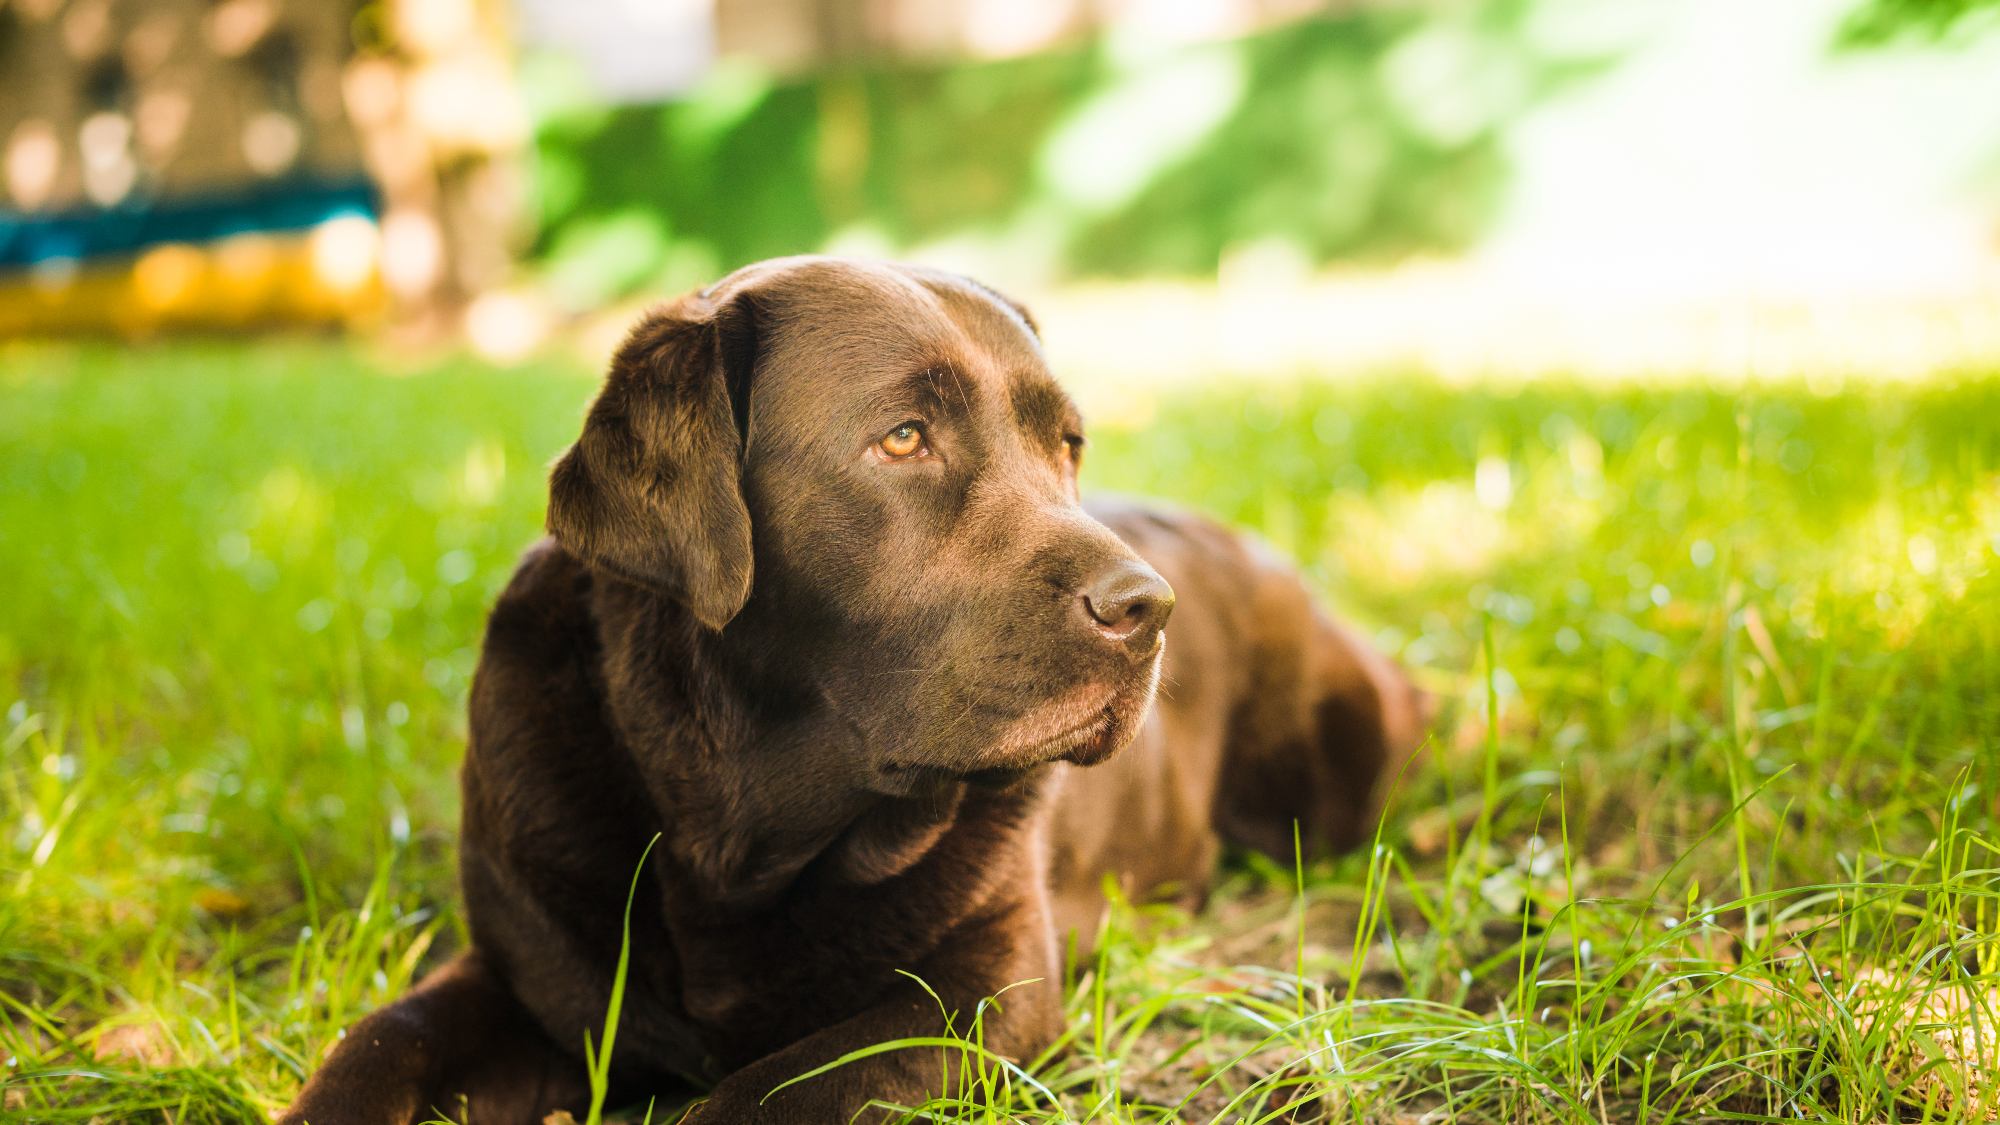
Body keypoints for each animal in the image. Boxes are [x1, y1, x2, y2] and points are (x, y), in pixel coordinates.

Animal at [282, 256, 1424, 1120]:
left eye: (1067, 446)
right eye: (904, 437)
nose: (1148, 607)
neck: (737, 831)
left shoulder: (983, 985)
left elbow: (769, 1090)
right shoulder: (525, 974)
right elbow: (381, 1039)